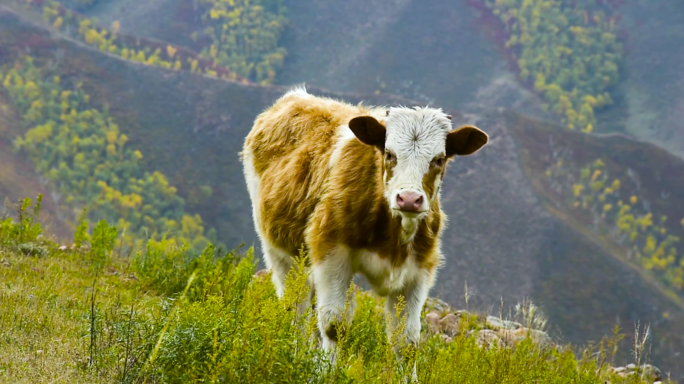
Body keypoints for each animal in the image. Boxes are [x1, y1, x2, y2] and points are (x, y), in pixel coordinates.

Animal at [240, 85, 486, 362]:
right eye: (389, 154)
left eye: (439, 159)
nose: (409, 199)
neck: (393, 237)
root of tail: (296, 96)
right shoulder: (330, 252)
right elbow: (334, 325)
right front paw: (325, 369)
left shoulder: (418, 271)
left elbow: (408, 342)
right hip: (281, 253)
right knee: (296, 309)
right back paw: (297, 355)